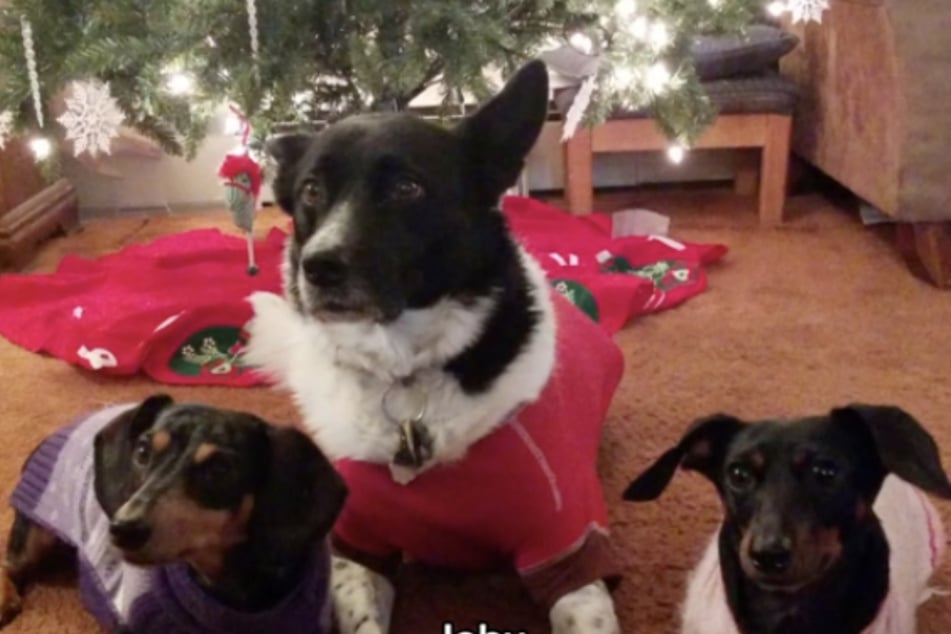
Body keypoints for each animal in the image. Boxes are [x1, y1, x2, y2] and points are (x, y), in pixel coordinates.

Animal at [245, 60, 624, 632]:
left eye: (407, 187)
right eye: (311, 191)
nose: (319, 267)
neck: (406, 370)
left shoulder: (566, 545)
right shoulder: (357, 548)